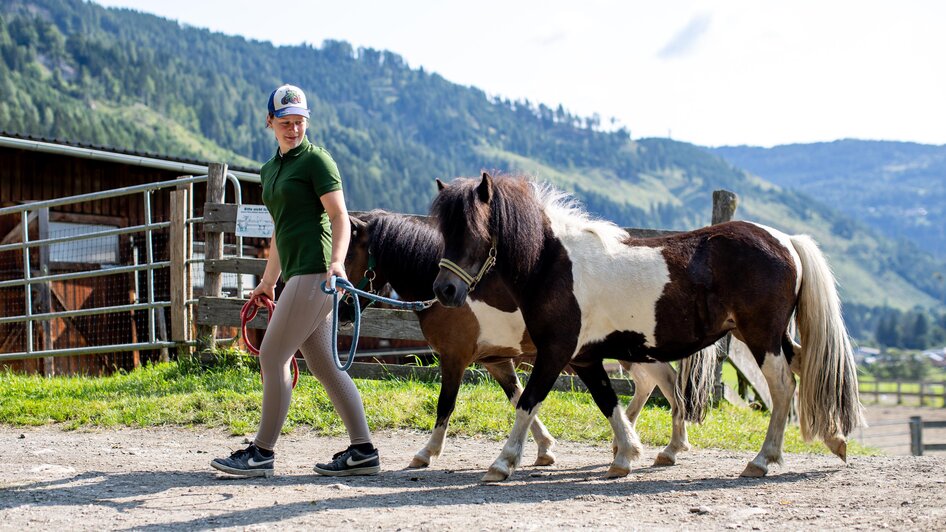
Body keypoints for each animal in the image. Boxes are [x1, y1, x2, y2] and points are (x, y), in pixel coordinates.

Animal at [342, 212, 712, 470]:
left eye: (348, 255)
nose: (344, 311)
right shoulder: (496, 361)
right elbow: (519, 397)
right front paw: (544, 449)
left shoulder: (453, 358)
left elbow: (445, 406)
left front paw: (426, 453)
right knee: (650, 384)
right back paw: (632, 441)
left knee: (666, 382)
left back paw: (666, 446)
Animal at [432, 175, 868, 482]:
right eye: (444, 231)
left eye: (473, 231)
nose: (444, 290)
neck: (552, 264)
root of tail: (786, 240)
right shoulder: (585, 358)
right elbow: (608, 402)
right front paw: (625, 456)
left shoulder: (556, 352)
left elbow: (527, 402)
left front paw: (502, 463)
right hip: (767, 336)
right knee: (806, 369)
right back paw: (834, 440)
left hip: (762, 337)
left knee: (783, 387)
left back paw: (762, 460)